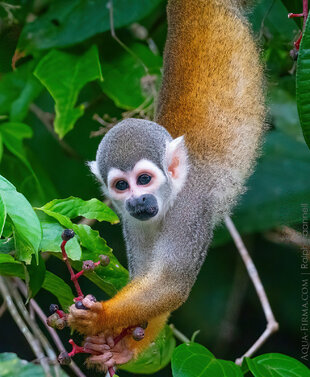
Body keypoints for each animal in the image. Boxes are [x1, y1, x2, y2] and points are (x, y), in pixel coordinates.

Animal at [69, 0, 266, 368]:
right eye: (122, 186)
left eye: (144, 180)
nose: (138, 201)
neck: (170, 197)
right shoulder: (131, 222)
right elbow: (151, 281)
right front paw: (122, 346)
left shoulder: (190, 211)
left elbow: (172, 284)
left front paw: (102, 317)